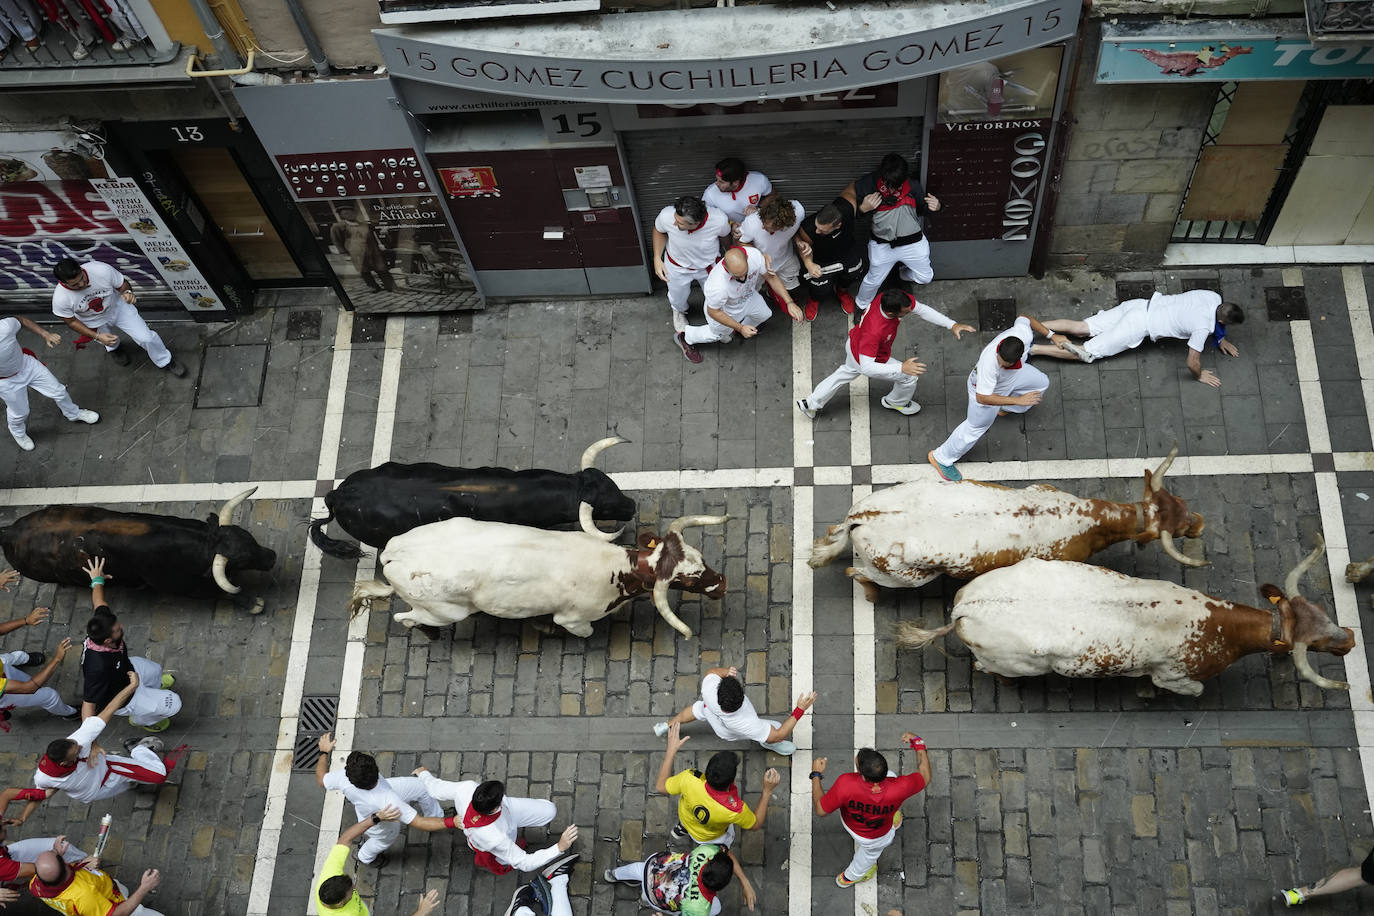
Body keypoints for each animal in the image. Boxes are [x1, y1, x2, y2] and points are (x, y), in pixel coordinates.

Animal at [0, 491, 276, 598]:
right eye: (242, 561)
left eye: (249, 537)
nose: (272, 556)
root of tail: (8, 530)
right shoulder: (178, 585)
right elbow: (219, 592)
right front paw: (252, 603)